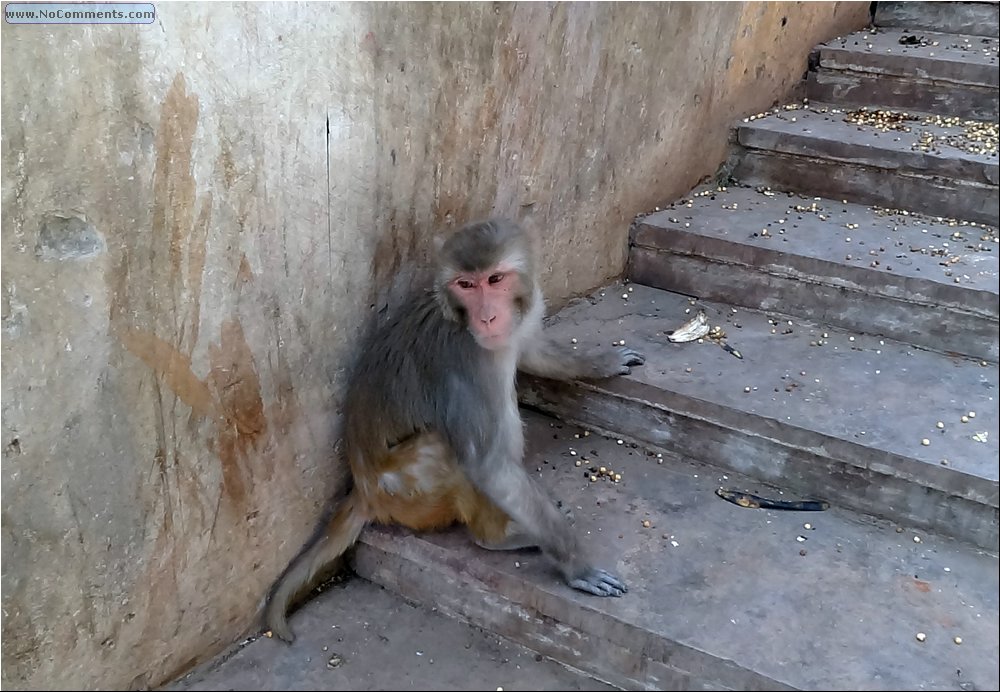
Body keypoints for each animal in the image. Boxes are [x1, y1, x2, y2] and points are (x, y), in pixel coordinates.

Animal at [262, 220, 644, 644]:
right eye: (465, 284)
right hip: (410, 492)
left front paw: (601, 362)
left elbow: (533, 351)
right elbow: (488, 466)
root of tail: (364, 492)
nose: (487, 318)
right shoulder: (464, 361)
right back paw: (499, 537)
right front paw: (576, 565)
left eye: (494, 279)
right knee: (456, 446)